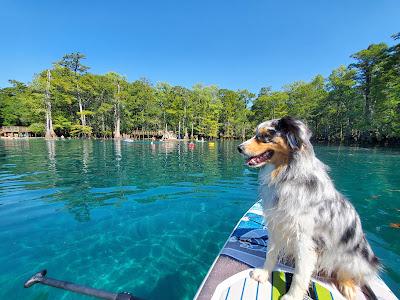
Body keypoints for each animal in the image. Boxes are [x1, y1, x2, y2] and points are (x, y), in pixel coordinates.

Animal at [239, 116, 380, 300]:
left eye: (265, 136)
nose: (239, 148)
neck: (287, 176)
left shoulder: (305, 240)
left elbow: (299, 275)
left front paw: (292, 296)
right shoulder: (276, 226)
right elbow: (270, 254)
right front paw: (263, 274)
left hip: (353, 256)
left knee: (347, 272)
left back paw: (347, 285)